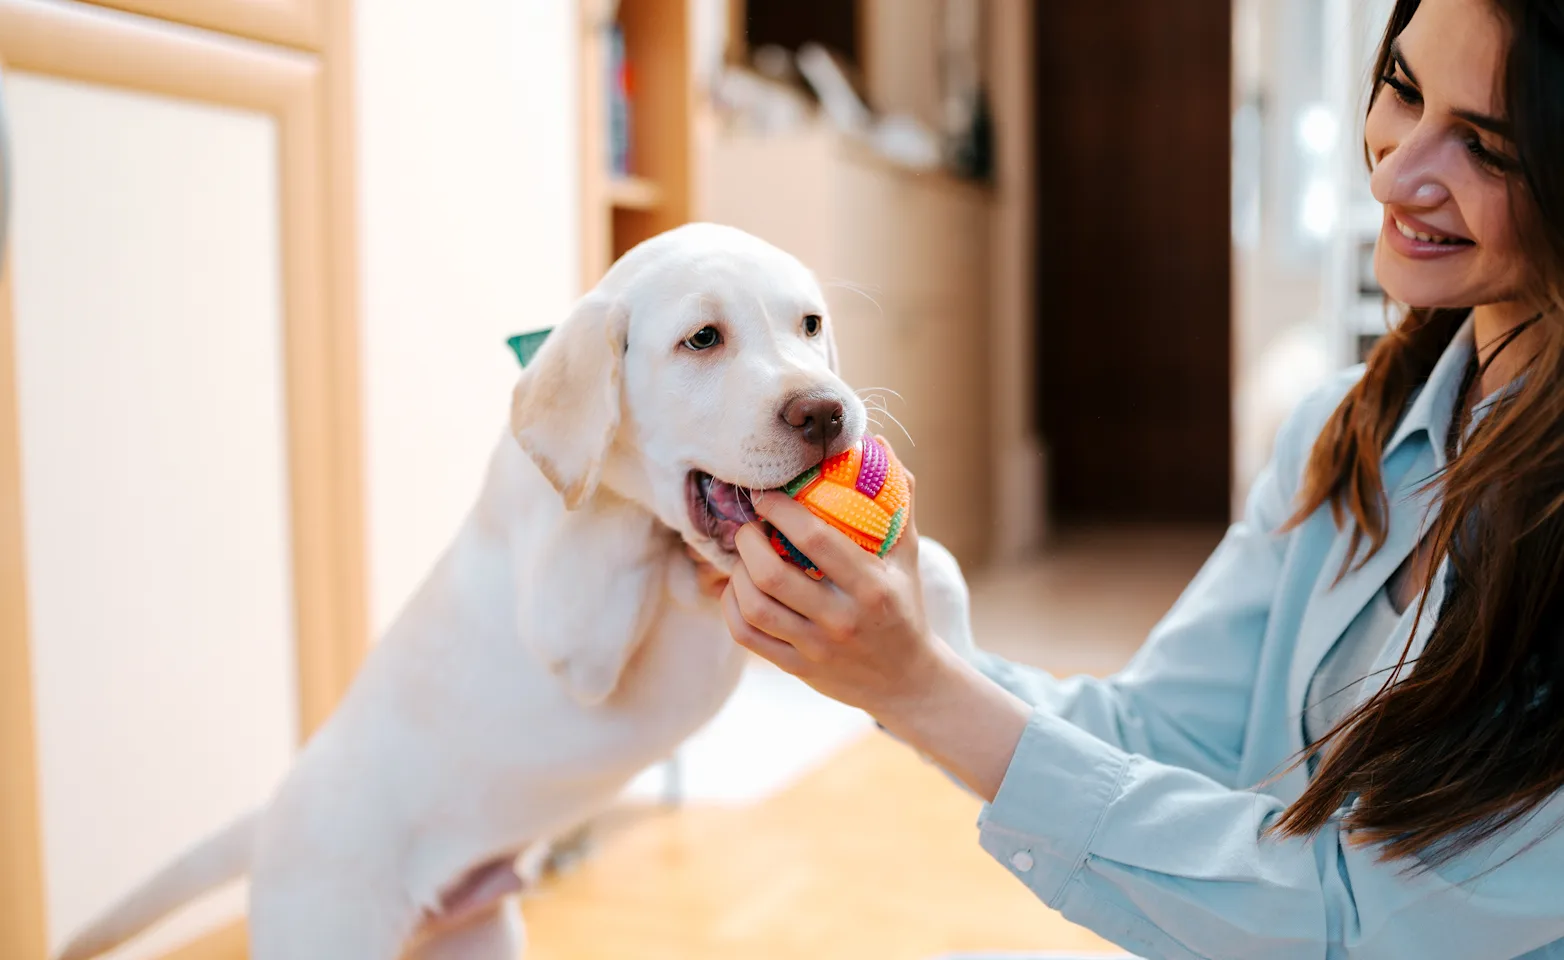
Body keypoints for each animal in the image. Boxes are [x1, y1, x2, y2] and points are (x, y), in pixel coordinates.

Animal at [57, 223, 975, 960]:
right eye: (703, 339)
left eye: (810, 325)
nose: (828, 413)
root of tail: (274, 809)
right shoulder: (576, 631)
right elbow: (634, 547)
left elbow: (938, 564)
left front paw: (956, 656)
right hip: (327, 927)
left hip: (476, 938)